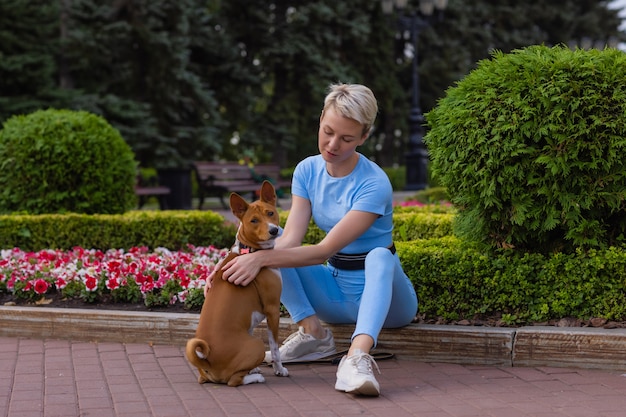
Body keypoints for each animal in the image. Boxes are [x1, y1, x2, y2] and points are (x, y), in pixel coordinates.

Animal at [182, 180, 286, 386]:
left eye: (270, 213)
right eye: (254, 220)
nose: (273, 230)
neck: (250, 251)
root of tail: (207, 362)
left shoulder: (251, 321)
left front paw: (253, 367)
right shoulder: (272, 309)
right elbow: (275, 349)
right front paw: (279, 370)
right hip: (256, 344)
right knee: (233, 381)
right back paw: (256, 377)